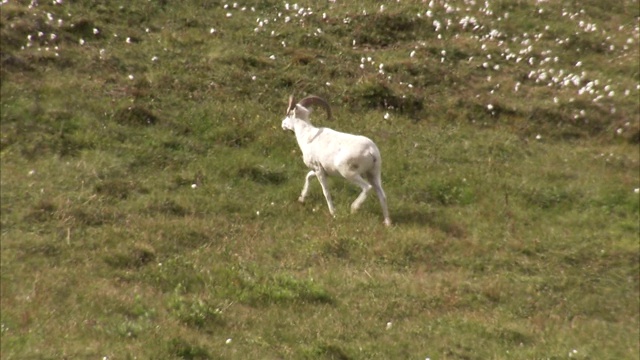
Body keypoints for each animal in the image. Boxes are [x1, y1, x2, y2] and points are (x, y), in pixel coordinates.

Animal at [282, 94, 392, 226]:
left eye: (289, 114)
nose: (282, 124)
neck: (307, 137)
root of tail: (371, 150)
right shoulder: (321, 171)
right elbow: (308, 176)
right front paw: (301, 198)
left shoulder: (319, 170)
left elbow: (326, 192)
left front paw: (333, 213)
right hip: (373, 173)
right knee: (382, 195)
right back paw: (387, 223)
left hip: (349, 173)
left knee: (367, 187)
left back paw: (354, 208)